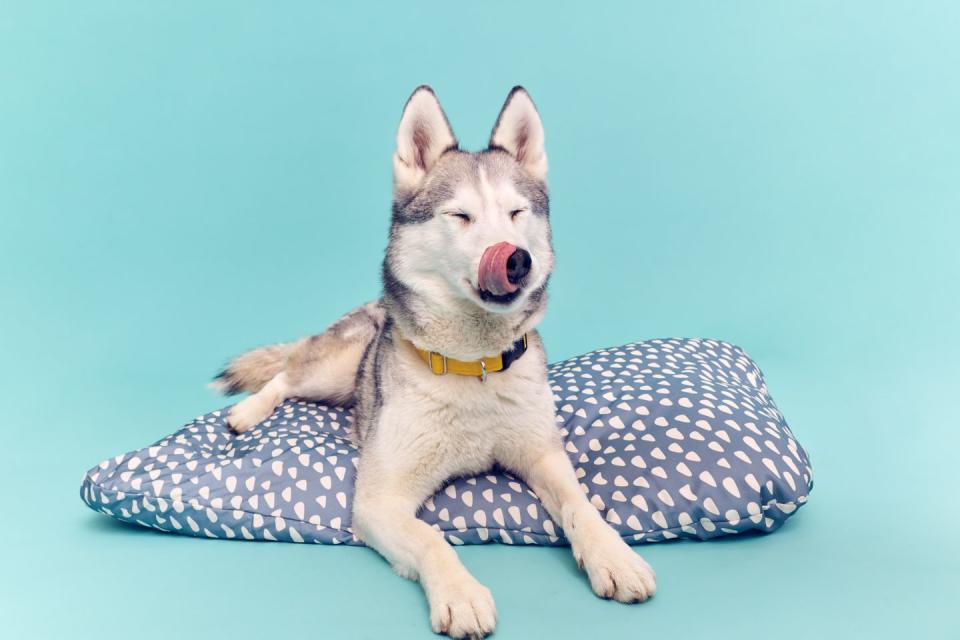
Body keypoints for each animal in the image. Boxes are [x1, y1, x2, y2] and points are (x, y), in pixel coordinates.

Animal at [214, 86, 656, 640]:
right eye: (460, 216)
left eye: (516, 213)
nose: (516, 259)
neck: (476, 367)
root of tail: (374, 304)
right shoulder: (379, 500)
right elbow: (431, 537)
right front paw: (461, 594)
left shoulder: (542, 455)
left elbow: (581, 505)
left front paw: (613, 557)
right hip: (332, 369)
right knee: (284, 375)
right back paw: (246, 412)